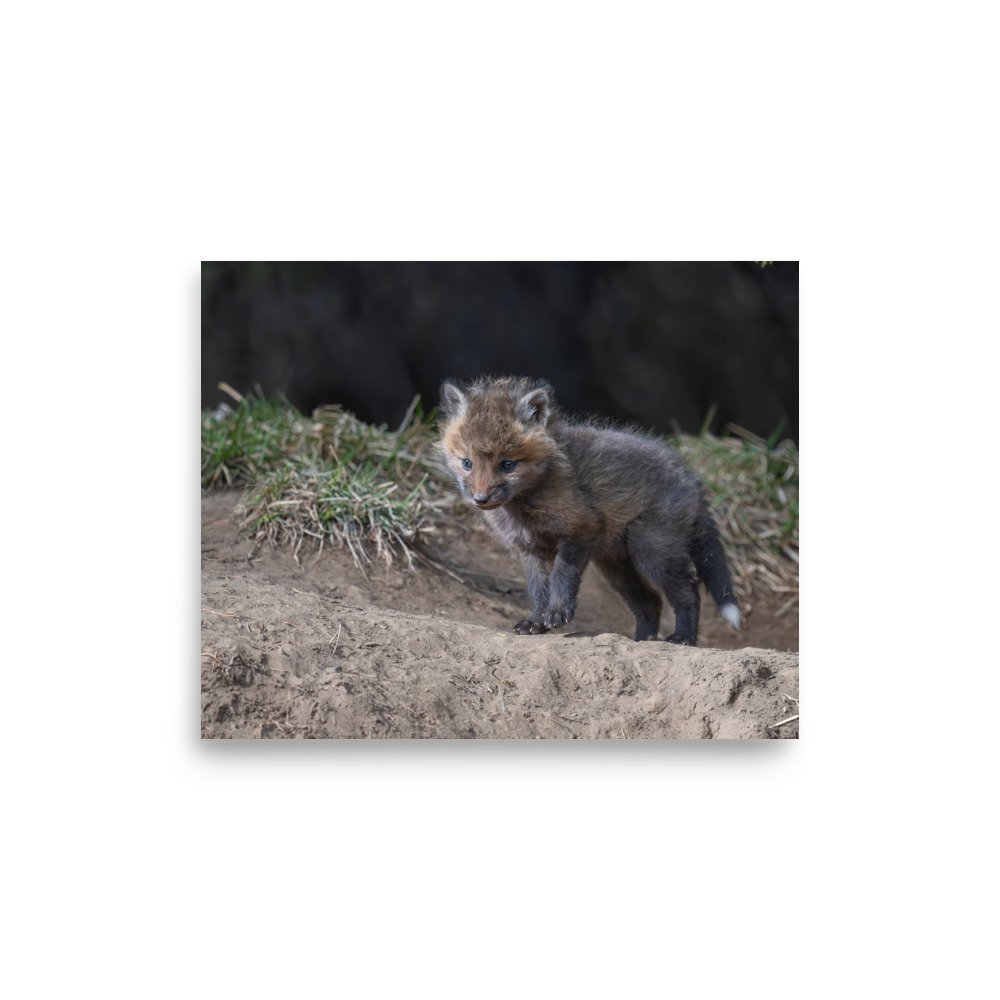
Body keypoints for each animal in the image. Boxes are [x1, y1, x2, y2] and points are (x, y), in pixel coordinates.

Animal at [438, 375, 741, 645]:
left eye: (508, 465)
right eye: (467, 463)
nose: (480, 499)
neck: (525, 507)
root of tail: (691, 479)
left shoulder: (581, 529)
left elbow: (562, 576)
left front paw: (558, 612)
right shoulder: (530, 548)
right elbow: (538, 590)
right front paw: (536, 622)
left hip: (652, 552)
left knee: (688, 592)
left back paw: (683, 637)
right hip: (616, 567)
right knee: (651, 602)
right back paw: (641, 640)